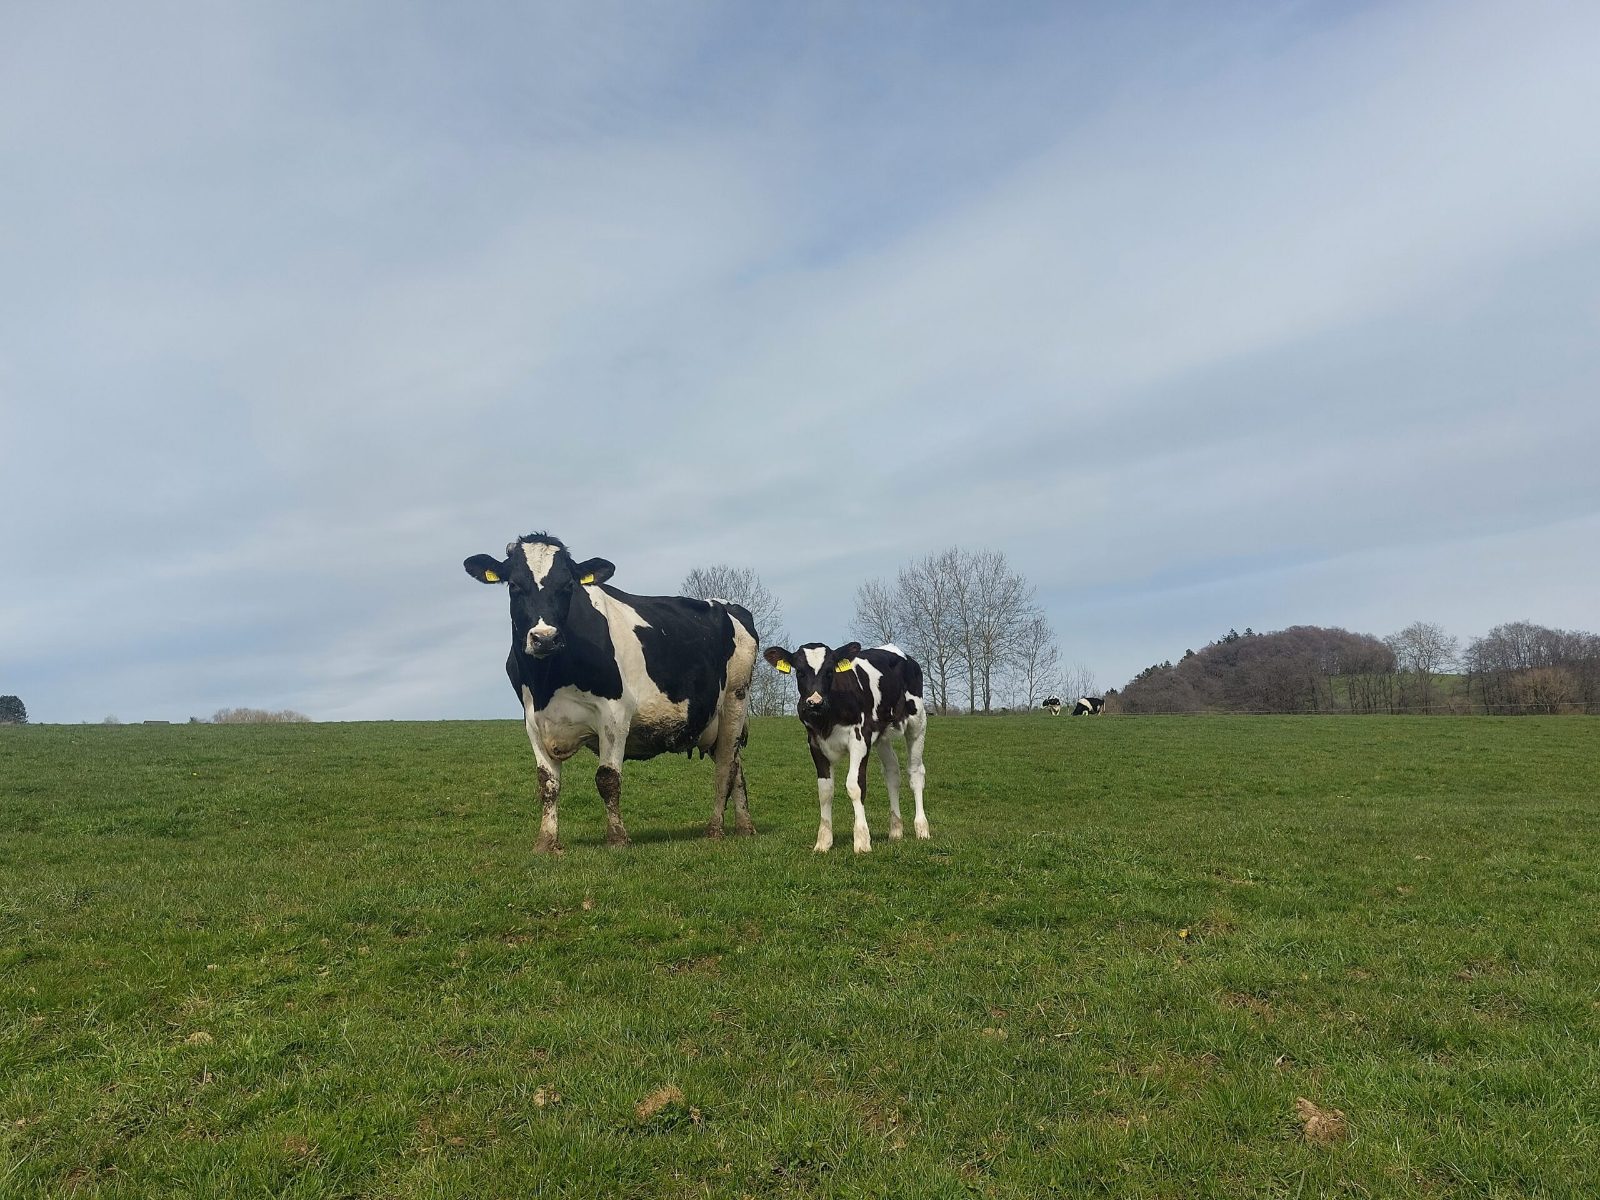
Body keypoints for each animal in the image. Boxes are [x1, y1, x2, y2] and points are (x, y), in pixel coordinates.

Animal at [464, 533, 758, 852]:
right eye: (514, 585)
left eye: (568, 586)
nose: (545, 638)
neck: (548, 682)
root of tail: (729, 606)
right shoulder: (533, 720)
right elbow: (547, 783)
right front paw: (546, 842)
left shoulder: (614, 713)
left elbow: (607, 779)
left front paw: (617, 837)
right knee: (736, 768)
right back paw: (745, 827)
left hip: (735, 701)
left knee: (724, 769)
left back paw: (715, 829)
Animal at [763, 641, 929, 853]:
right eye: (799, 672)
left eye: (829, 671)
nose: (814, 702)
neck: (827, 719)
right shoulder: (814, 743)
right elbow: (825, 791)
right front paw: (823, 842)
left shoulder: (860, 737)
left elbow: (855, 786)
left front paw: (862, 840)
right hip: (882, 734)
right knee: (892, 773)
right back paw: (896, 831)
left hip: (917, 721)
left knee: (915, 772)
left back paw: (922, 829)